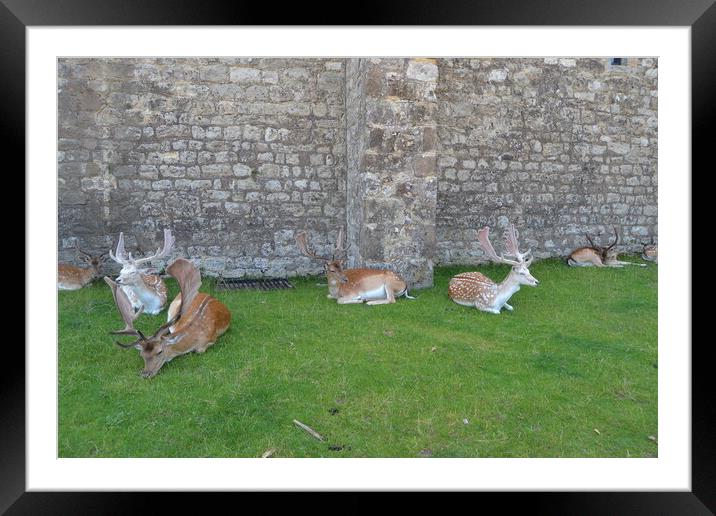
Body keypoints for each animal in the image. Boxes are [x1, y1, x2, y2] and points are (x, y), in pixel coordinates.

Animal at [103, 258, 231, 378]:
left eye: (160, 352)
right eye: (142, 355)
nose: (145, 374)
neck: (195, 335)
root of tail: (211, 296)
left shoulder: (210, 340)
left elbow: (199, 350)